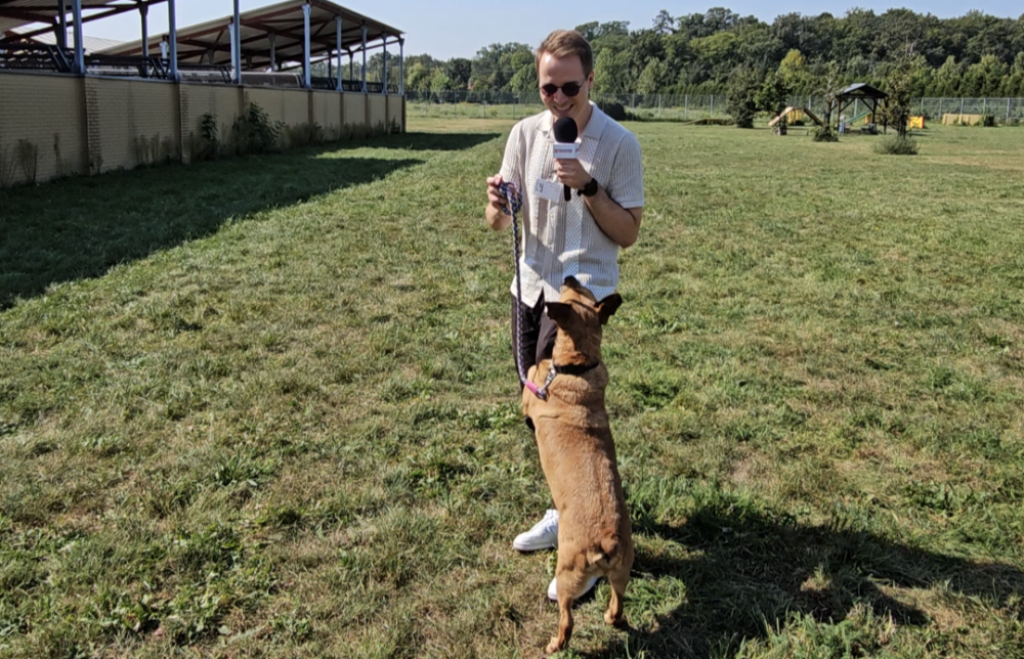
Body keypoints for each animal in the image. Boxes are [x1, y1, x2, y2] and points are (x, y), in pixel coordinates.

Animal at [520, 274, 630, 654]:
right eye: (583, 291)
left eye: (570, 292)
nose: (568, 276)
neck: (580, 365)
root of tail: (607, 540)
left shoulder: (532, 388)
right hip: (622, 573)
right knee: (617, 600)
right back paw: (613, 619)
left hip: (567, 574)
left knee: (567, 621)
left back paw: (555, 644)